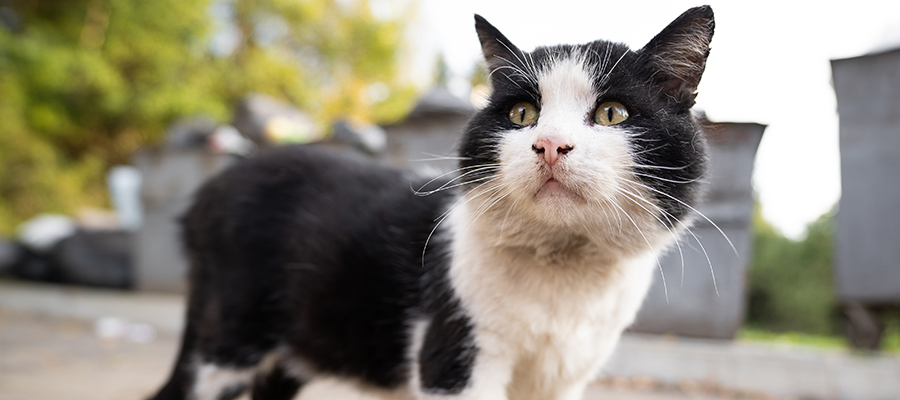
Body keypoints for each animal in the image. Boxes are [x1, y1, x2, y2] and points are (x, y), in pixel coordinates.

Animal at [151, 5, 716, 400]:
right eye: (522, 113)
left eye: (612, 113)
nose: (550, 143)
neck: (564, 279)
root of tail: (210, 189)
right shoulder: (456, 358)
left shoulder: (564, 380)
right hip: (227, 341)